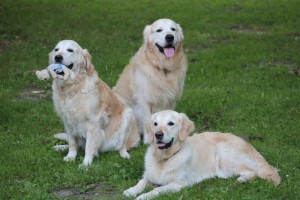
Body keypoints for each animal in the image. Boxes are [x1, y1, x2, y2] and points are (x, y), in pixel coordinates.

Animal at [35, 39, 139, 168]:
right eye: (56, 49)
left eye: (70, 50)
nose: (58, 57)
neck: (72, 88)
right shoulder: (67, 121)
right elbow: (72, 142)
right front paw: (71, 156)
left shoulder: (92, 123)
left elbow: (89, 147)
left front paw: (85, 164)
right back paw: (60, 147)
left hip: (128, 115)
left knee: (121, 146)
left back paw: (124, 155)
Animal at [123, 110, 280, 199]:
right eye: (155, 124)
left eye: (171, 123)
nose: (158, 135)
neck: (165, 158)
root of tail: (248, 143)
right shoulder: (149, 175)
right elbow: (141, 182)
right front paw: (131, 191)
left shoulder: (178, 184)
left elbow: (158, 190)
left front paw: (143, 196)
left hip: (224, 159)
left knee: (254, 171)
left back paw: (241, 179)